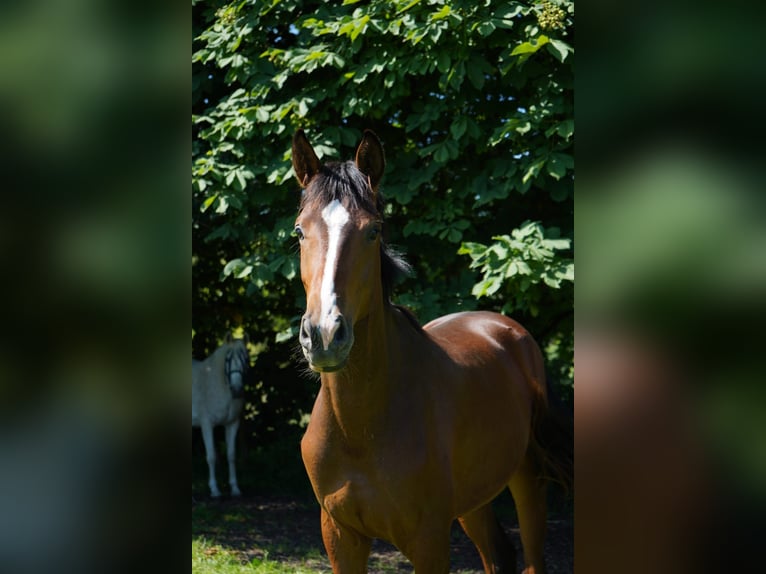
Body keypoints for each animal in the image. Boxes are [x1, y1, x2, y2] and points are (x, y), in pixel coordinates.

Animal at [194, 332, 250, 500]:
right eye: (228, 359)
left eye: (246, 359)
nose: (237, 389)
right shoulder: (206, 425)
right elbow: (211, 456)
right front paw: (214, 490)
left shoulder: (232, 424)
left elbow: (231, 456)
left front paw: (235, 488)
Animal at [292, 130, 572, 574]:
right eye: (300, 232)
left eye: (373, 231)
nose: (323, 333)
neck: (361, 428)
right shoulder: (339, 535)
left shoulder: (428, 540)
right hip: (475, 500)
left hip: (527, 480)